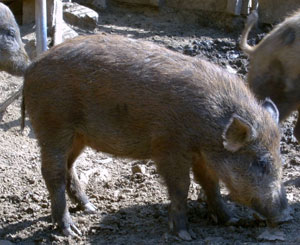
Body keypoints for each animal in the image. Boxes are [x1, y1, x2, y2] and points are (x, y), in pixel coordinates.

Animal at [21, 33, 288, 240]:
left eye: (280, 159)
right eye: (260, 162)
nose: (286, 216)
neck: (209, 123)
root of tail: (31, 67)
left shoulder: (202, 155)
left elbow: (211, 185)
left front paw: (232, 221)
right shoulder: (169, 147)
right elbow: (181, 186)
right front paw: (184, 235)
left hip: (78, 136)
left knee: (69, 167)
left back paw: (90, 208)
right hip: (52, 124)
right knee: (52, 172)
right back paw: (71, 230)